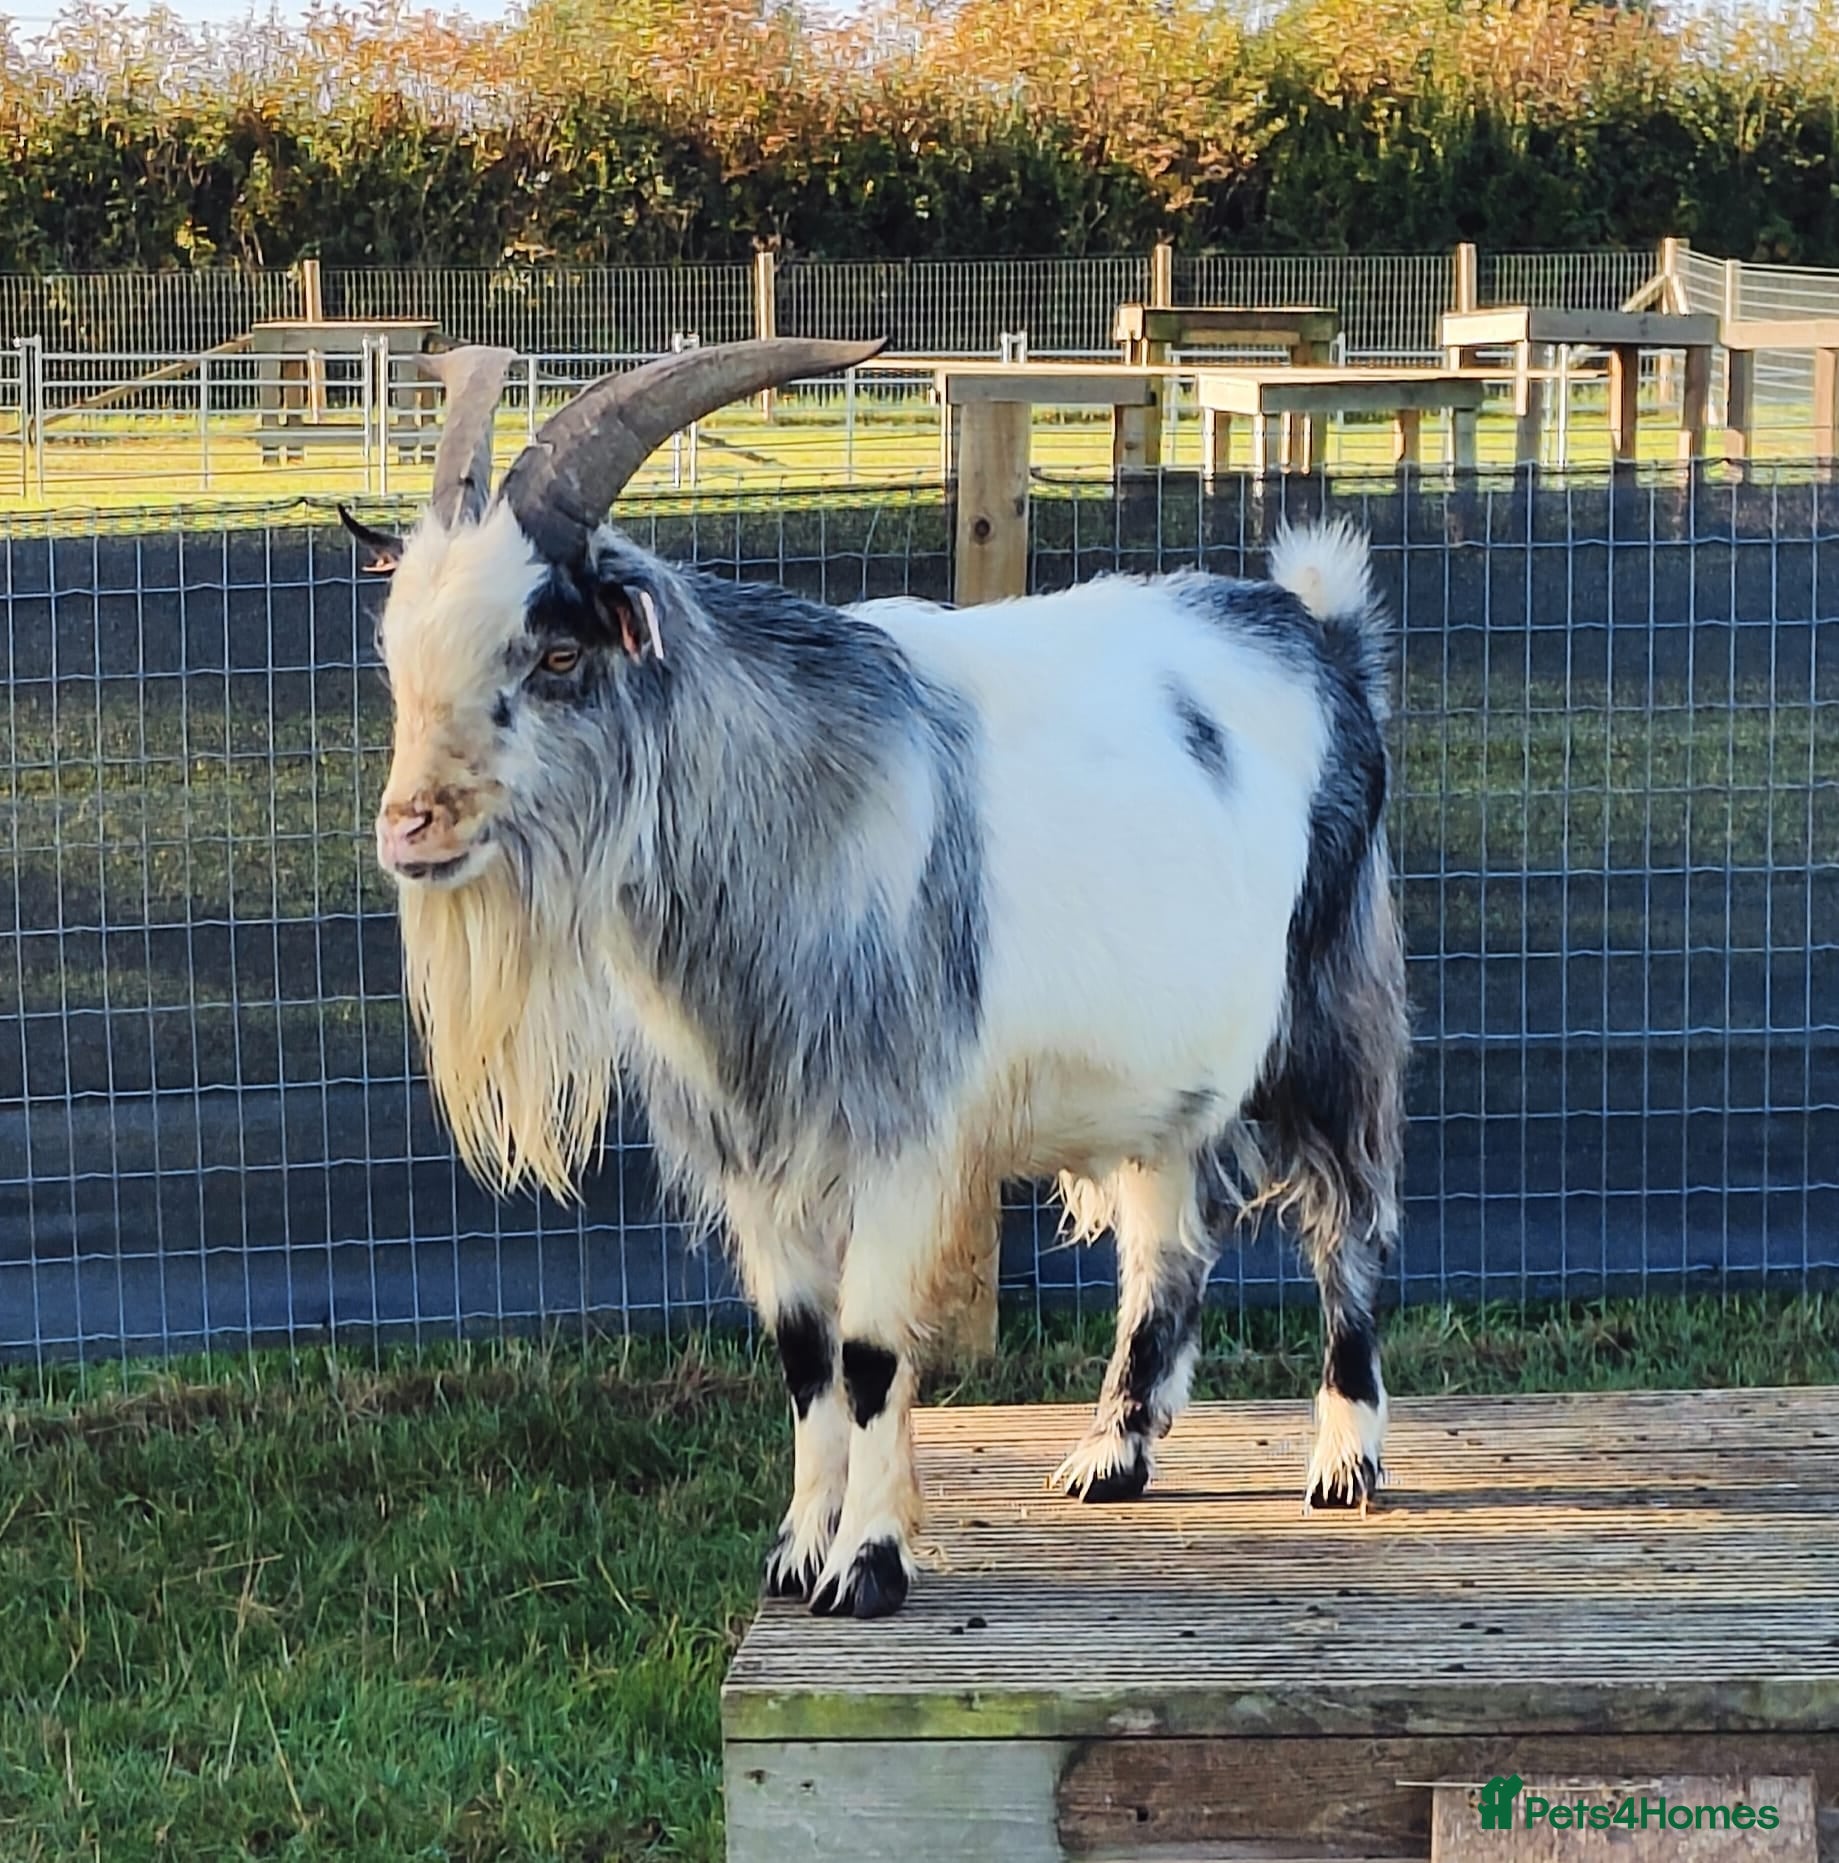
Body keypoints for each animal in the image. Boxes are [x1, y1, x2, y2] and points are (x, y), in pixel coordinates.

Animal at [344, 339, 1410, 1620]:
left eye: (556, 653)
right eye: (398, 654)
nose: (411, 827)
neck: (791, 810)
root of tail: (1323, 634)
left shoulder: (902, 1136)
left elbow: (868, 1353)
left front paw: (867, 1564)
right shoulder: (756, 1154)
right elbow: (806, 1358)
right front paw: (798, 1551)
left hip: (1331, 1006)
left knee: (1351, 1218)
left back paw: (1345, 1459)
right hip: (1167, 1078)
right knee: (1169, 1245)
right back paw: (1114, 1451)